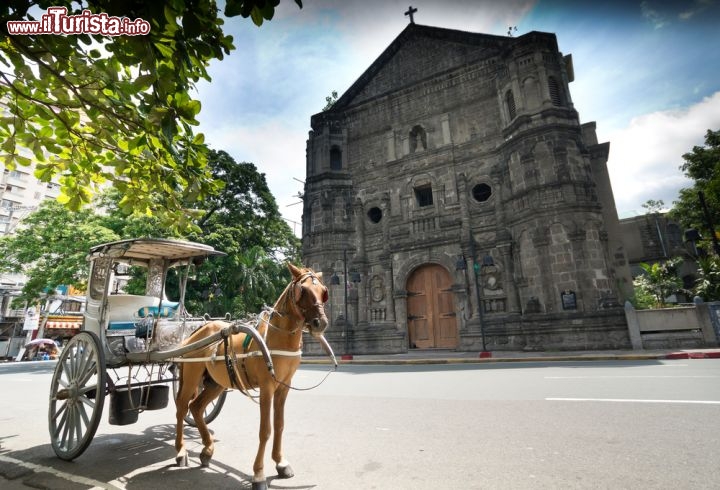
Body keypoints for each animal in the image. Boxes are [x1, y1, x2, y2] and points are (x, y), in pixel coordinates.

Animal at [173, 264, 330, 490]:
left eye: (323, 291)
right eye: (304, 290)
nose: (321, 323)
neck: (277, 338)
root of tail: (197, 331)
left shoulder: (284, 386)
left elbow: (279, 425)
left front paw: (281, 463)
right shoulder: (266, 387)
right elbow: (265, 430)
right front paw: (259, 474)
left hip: (215, 383)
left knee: (196, 407)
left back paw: (207, 450)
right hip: (191, 376)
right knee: (181, 408)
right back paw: (180, 451)